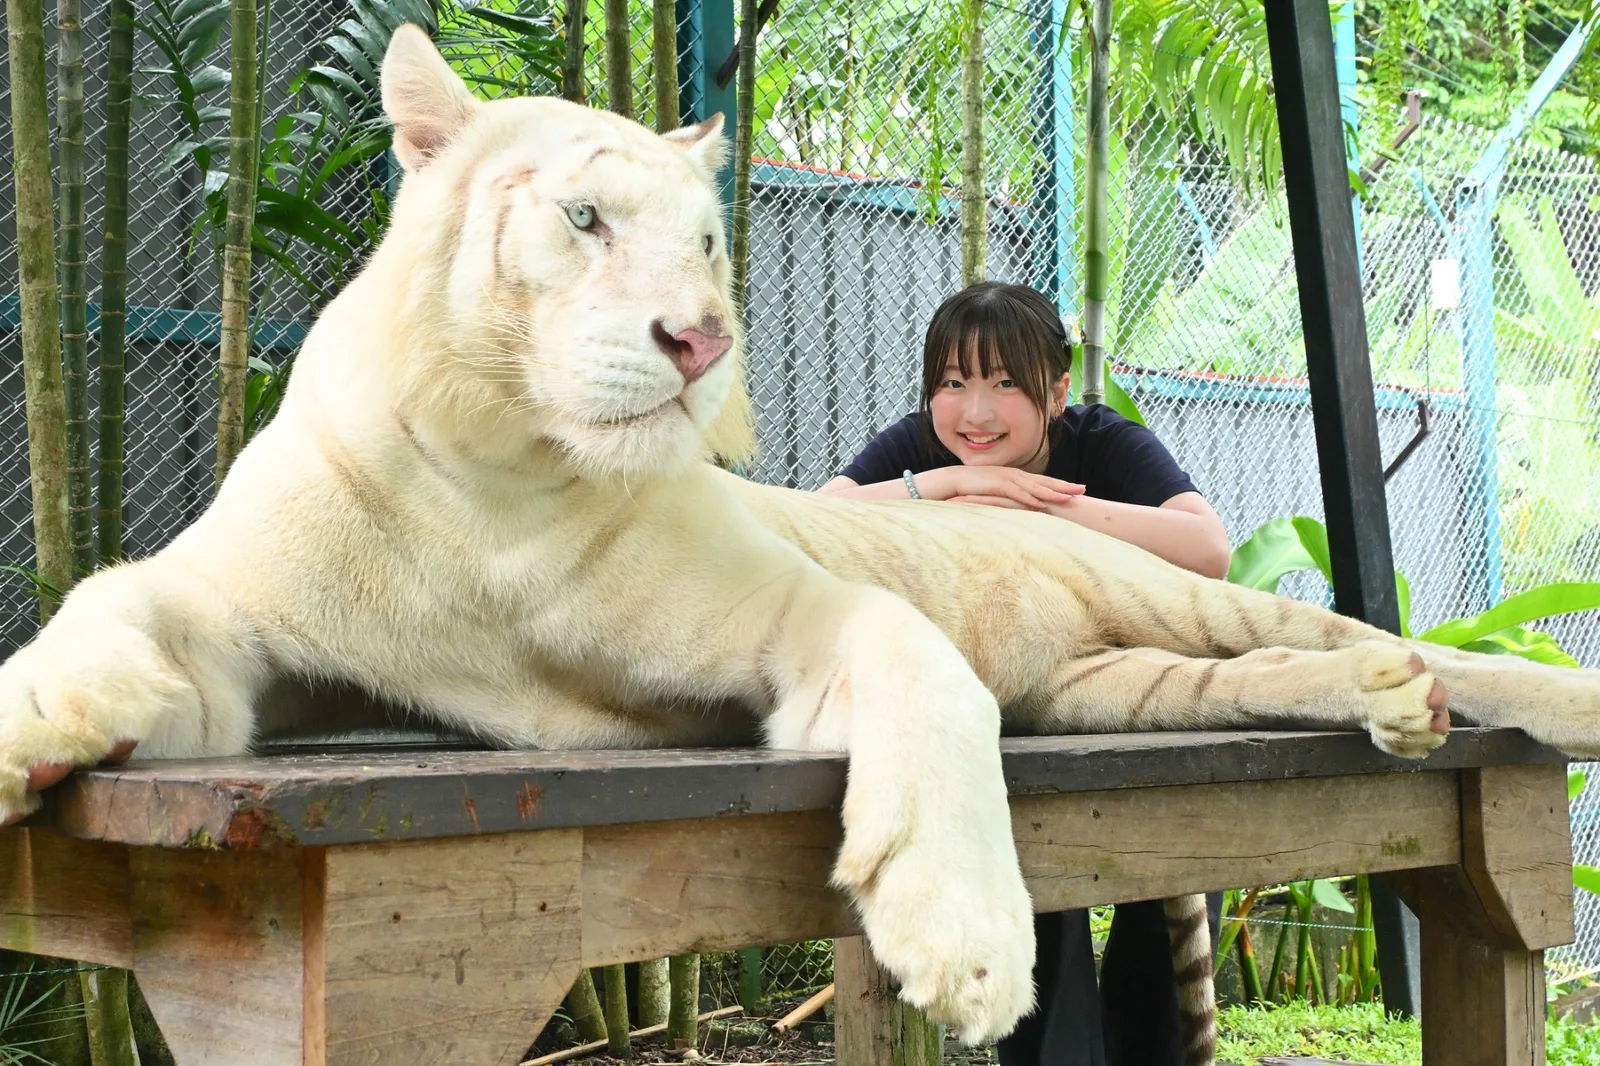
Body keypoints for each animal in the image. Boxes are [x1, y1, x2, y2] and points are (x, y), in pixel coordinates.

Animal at [3, 24, 1599, 1064]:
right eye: (586, 218)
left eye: (708, 241)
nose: (703, 338)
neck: (502, 479)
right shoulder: (224, 626)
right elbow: (94, 616)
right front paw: (25, 736)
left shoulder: (794, 617)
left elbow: (916, 665)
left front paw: (965, 944)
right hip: (1124, 687)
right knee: (1286, 678)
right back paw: (1395, 709)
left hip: (1195, 600)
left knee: (1387, 641)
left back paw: (1509, 695)